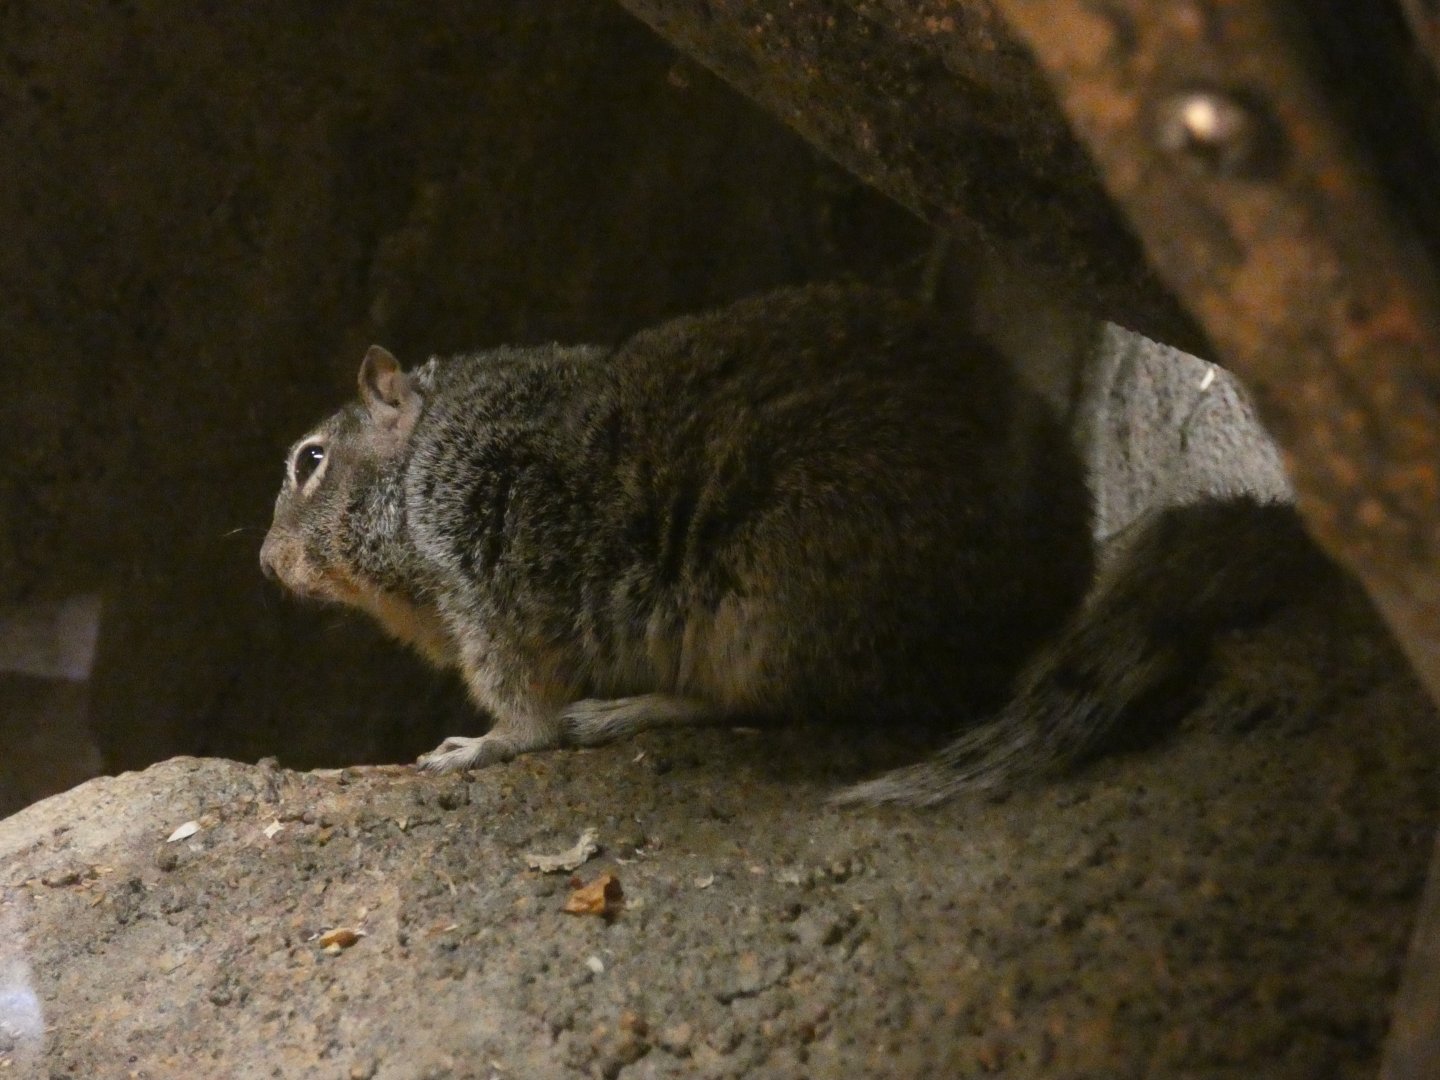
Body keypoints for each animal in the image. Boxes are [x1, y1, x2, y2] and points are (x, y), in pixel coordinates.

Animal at [261, 282, 1337, 803]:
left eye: (308, 461)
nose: (265, 563)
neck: (418, 468)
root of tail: (1053, 602)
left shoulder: (489, 593)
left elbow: (522, 715)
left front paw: (470, 749)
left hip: (770, 601)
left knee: (764, 705)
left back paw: (630, 708)